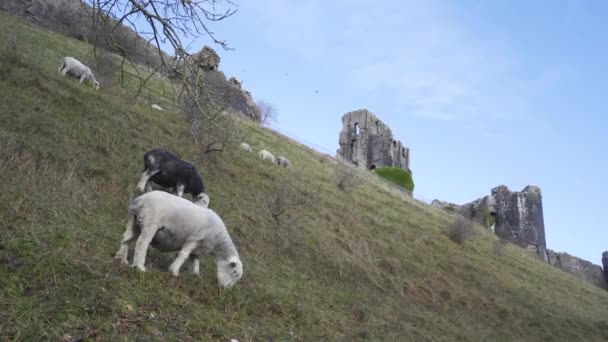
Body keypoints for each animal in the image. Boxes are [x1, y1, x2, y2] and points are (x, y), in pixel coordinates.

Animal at [115, 191, 243, 288]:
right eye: (234, 272)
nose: (226, 288)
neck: (217, 239)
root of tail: (140, 200)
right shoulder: (194, 239)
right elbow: (184, 255)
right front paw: (174, 271)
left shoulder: (198, 248)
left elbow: (195, 260)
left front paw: (196, 275)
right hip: (150, 223)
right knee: (142, 243)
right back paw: (140, 266)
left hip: (134, 221)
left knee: (126, 239)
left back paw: (122, 259)